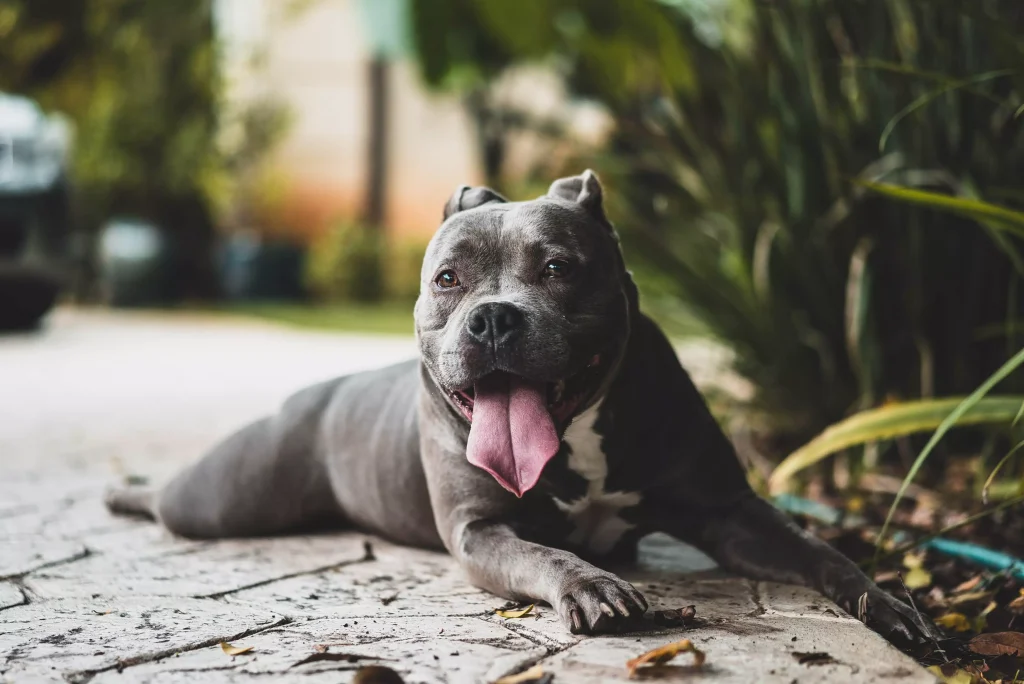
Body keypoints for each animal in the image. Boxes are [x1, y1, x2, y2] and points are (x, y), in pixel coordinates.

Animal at [108, 169, 937, 647]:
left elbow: (819, 552)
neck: (578, 434)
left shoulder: (729, 511)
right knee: (173, 500)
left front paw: (883, 603)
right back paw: (126, 492)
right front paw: (592, 585)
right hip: (226, 495)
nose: (493, 318)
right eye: (447, 279)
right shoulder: (481, 531)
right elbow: (545, 553)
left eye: (558, 268)